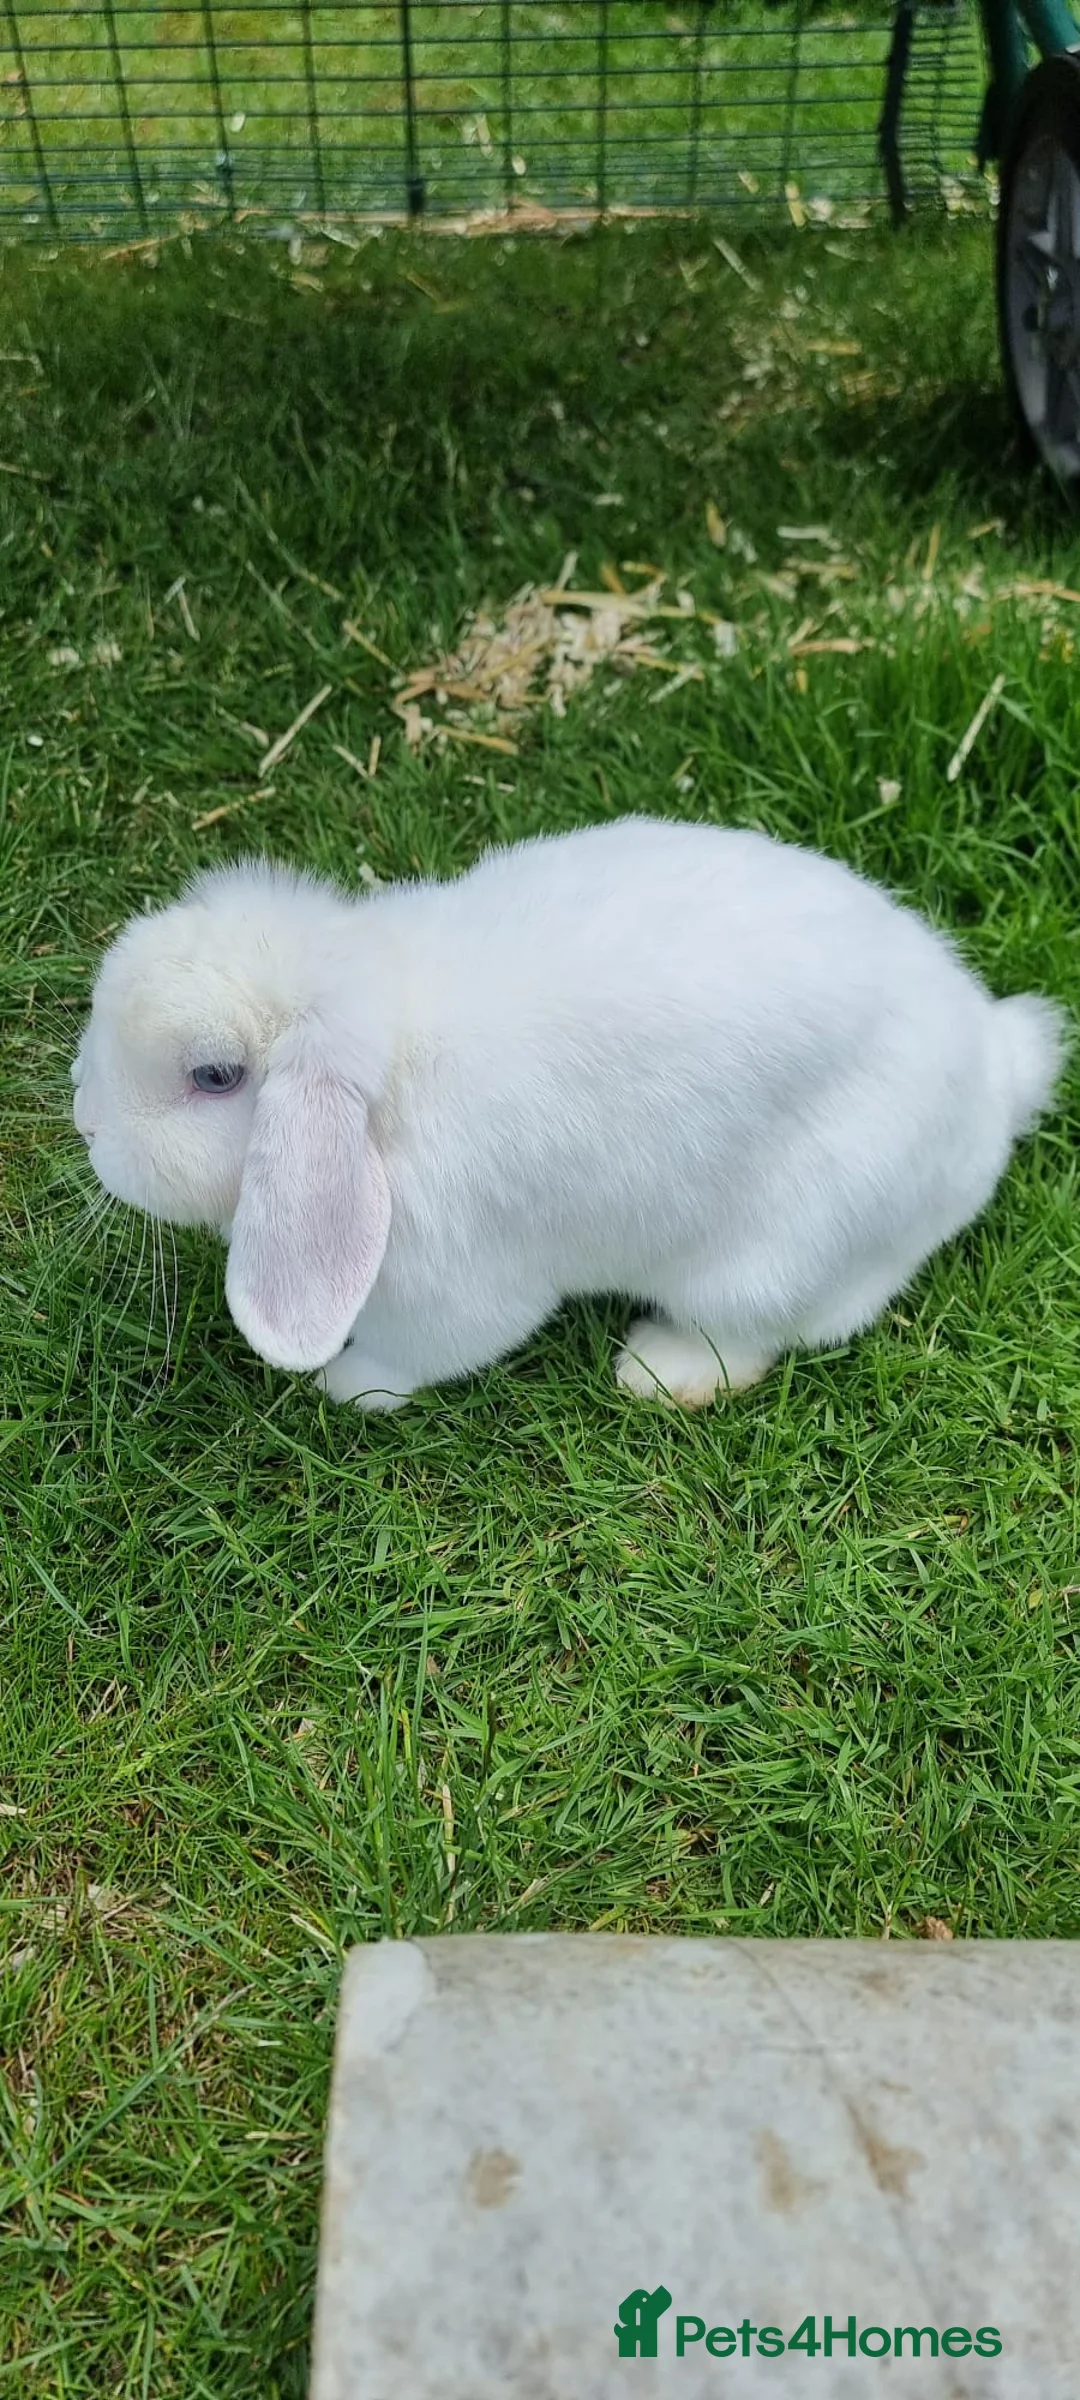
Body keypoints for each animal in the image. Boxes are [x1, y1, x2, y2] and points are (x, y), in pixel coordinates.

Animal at [70, 816, 1067, 1412]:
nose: (85, 1118)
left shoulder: (455, 1286)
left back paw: (655, 1371)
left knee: (754, 1339)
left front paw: (345, 1385)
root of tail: (994, 1070)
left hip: (778, 1254)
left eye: (213, 1076)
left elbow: (413, 1353)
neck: (389, 1082)